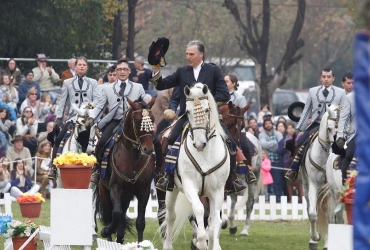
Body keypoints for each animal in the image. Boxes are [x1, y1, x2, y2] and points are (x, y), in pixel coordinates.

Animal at [94, 97, 157, 244]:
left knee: (121, 216)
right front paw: (106, 231)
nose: (148, 149)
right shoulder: (115, 187)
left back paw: (120, 238)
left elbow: (140, 222)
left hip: (126, 196)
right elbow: (116, 214)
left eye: (152, 119)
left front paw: (140, 244)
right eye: (138, 121)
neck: (133, 156)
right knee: (109, 215)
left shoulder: (144, 190)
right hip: (104, 191)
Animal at [163, 83, 230, 250]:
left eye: (207, 110)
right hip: (171, 189)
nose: (199, 144)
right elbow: (198, 209)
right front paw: (200, 241)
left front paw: (212, 244)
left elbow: (215, 221)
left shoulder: (217, 191)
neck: (205, 154)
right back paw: (168, 245)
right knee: (171, 216)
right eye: (187, 111)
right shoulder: (189, 185)